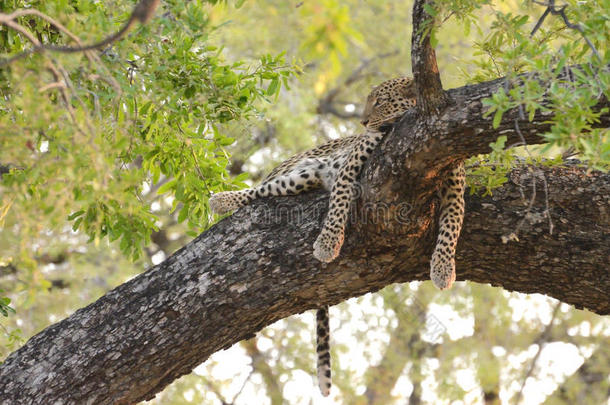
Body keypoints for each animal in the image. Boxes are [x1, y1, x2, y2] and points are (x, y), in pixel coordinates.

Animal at [207, 76, 464, 394]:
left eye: (380, 102)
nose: (363, 122)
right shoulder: (353, 161)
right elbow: (339, 198)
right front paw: (328, 244)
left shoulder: (455, 186)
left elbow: (452, 226)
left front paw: (443, 269)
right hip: (297, 174)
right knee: (259, 191)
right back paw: (221, 201)